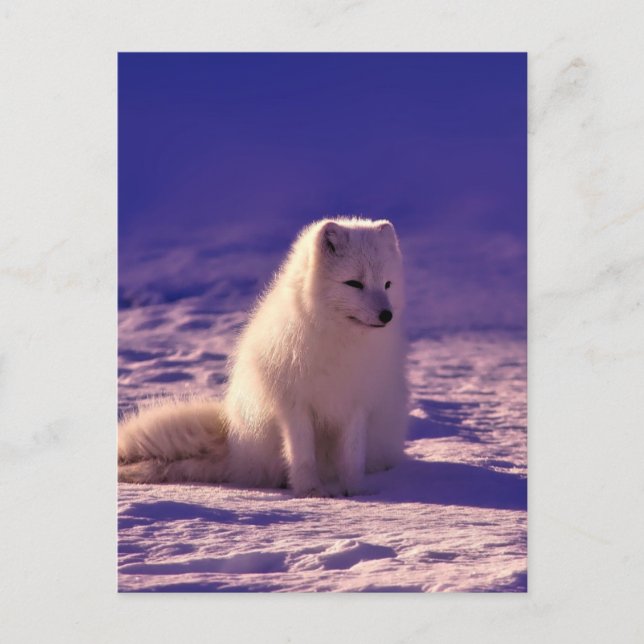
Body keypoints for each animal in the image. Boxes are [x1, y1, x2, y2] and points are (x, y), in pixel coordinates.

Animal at [118, 217, 409, 497]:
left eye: (387, 284)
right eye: (354, 283)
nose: (387, 315)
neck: (340, 343)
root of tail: (235, 449)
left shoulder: (357, 404)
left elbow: (352, 456)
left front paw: (356, 491)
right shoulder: (294, 405)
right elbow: (302, 456)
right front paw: (311, 492)